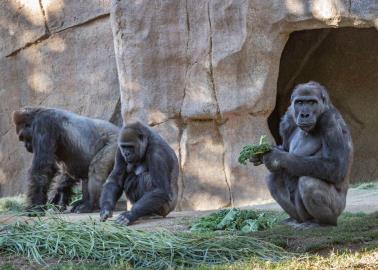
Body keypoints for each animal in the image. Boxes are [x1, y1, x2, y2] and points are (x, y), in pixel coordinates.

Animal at [252, 81, 352, 227]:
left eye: (311, 102)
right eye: (299, 102)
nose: (305, 114)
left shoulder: (329, 119)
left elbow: (335, 166)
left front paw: (275, 157)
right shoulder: (288, 118)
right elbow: (285, 149)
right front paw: (261, 152)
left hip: (339, 208)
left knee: (309, 182)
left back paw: (323, 223)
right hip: (300, 216)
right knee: (274, 179)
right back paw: (295, 220)